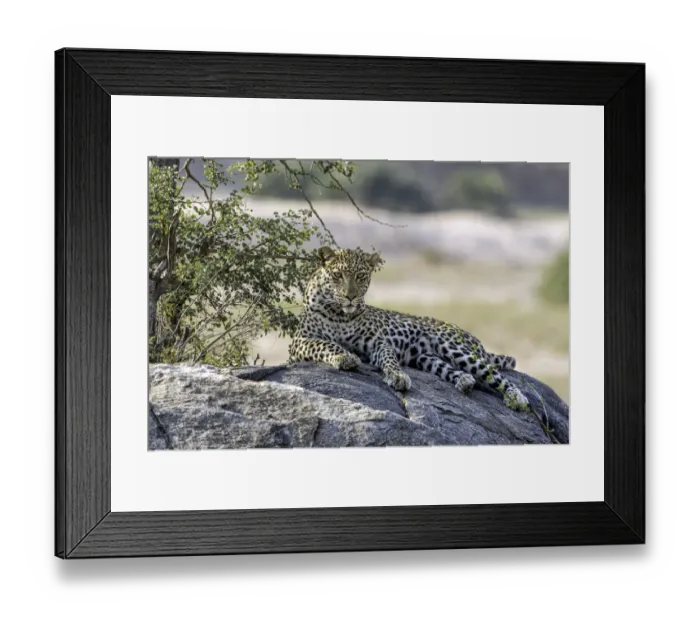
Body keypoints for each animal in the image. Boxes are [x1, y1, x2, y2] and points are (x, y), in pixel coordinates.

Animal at [288, 246, 530, 412]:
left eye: (361, 276)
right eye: (338, 275)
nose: (351, 296)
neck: (339, 314)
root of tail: (473, 338)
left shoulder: (378, 342)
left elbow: (389, 359)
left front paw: (398, 376)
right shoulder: (299, 342)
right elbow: (325, 343)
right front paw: (345, 357)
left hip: (455, 348)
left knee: (496, 375)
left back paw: (517, 399)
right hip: (426, 358)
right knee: (454, 370)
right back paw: (464, 381)